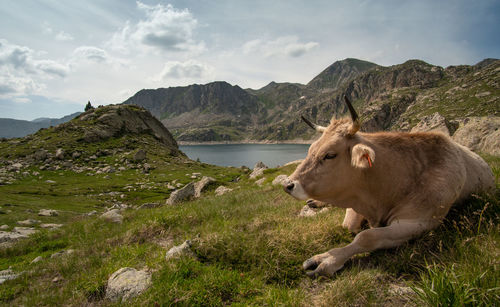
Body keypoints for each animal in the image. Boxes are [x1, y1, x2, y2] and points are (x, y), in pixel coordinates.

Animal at [284, 96, 494, 280]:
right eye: (310, 149)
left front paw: (326, 260)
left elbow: (366, 237)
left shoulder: (420, 222)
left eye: (329, 155)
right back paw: (315, 202)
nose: (287, 184)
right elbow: (349, 225)